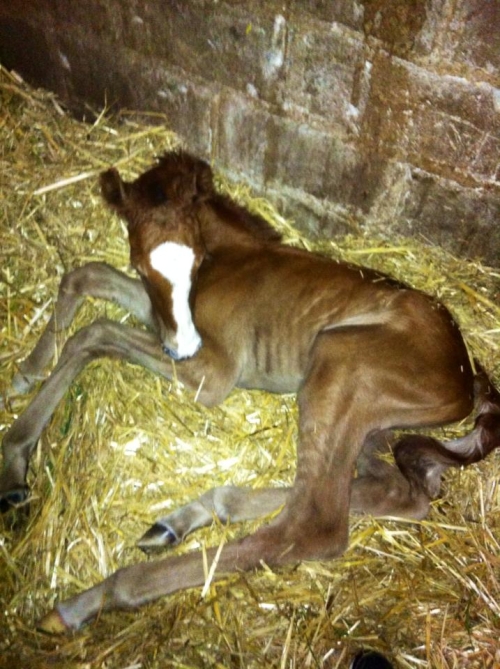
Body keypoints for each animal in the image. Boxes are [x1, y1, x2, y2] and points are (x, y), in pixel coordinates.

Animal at [0, 151, 498, 632]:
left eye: (196, 260)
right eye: (141, 265)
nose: (182, 347)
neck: (231, 256)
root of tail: (467, 372)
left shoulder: (211, 373)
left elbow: (96, 332)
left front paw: (15, 452)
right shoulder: (163, 320)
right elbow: (88, 279)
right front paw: (24, 390)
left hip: (339, 363)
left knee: (310, 525)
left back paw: (90, 599)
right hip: (369, 424)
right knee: (394, 491)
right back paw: (180, 520)